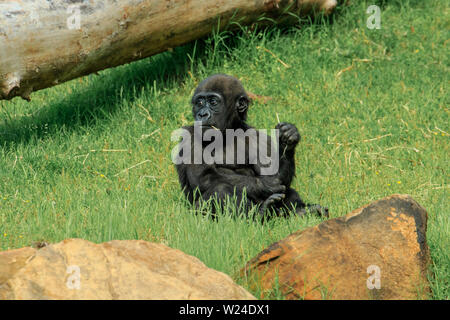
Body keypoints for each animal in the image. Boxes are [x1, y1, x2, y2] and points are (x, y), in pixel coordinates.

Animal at [175, 73, 326, 218]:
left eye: (213, 102)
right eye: (199, 103)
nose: (202, 114)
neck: (229, 132)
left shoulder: (259, 139)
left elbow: (277, 175)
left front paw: (287, 139)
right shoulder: (190, 136)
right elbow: (205, 177)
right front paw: (265, 185)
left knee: (288, 192)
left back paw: (302, 211)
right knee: (220, 190)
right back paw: (260, 213)